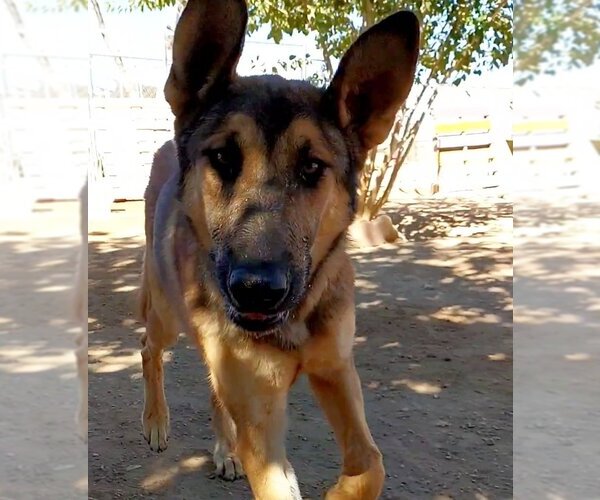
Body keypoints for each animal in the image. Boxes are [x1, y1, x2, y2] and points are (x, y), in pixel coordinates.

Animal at [139, 1, 422, 498]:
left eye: (312, 167)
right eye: (223, 157)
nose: (256, 289)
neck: (295, 321)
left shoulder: (337, 368)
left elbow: (372, 462)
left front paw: (342, 490)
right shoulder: (261, 424)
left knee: (213, 386)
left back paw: (224, 449)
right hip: (166, 314)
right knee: (148, 350)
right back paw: (156, 422)